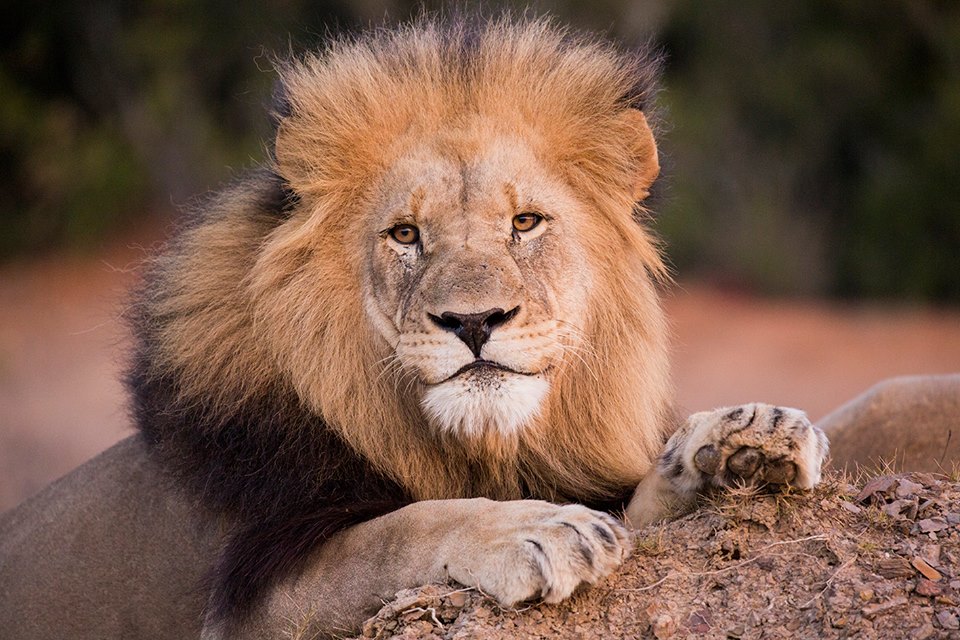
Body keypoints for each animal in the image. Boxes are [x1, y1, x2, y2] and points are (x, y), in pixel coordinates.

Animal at [0, 15, 948, 640]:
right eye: (405, 235)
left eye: (524, 223)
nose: (474, 320)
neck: (479, 447)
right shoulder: (246, 600)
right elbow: (400, 530)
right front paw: (535, 530)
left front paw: (739, 441)